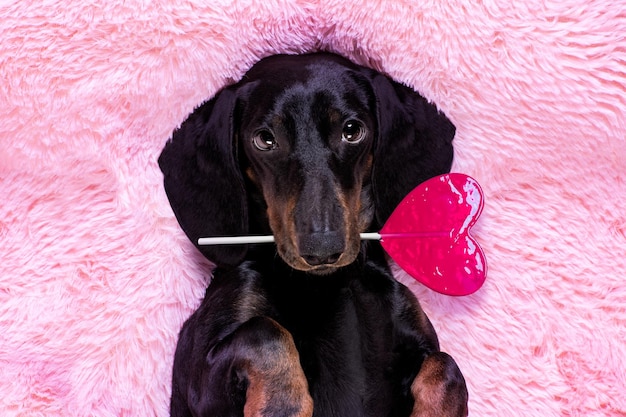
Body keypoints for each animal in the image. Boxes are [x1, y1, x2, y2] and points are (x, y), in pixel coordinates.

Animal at [158, 52, 466, 416]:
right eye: (264, 139)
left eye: (352, 131)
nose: (322, 250)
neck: (326, 282)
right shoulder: (198, 383)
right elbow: (266, 331)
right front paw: (282, 405)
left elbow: (446, 365)